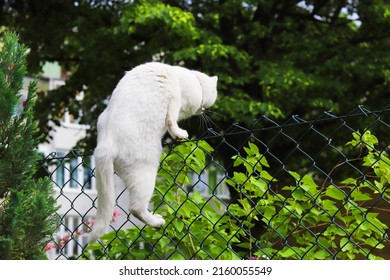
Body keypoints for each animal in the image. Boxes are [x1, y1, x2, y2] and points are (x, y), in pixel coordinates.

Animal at [90, 62, 218, 242]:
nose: (203, 111)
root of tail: (105, 145)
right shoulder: (174, 96)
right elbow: (171, 121)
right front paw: (179, 134)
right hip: (146, 174)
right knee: (136, 208)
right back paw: (157, 221)